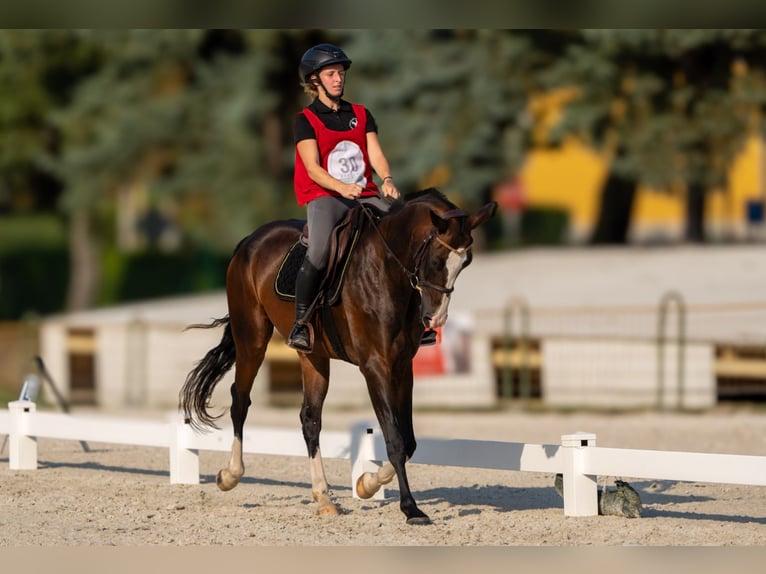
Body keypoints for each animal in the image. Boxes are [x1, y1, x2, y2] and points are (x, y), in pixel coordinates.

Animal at [180, 189, 498, 528]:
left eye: (465, 263)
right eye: (437, 260)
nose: (435, 319)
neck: (387, 270)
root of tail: (251, 239)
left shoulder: (401, 367)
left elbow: (408, 440)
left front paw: (367, 483)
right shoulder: (375, 367)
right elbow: (396, 441)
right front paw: (411, 509)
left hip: (313, 355)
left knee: (310, 418)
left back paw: (324, 498)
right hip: (251, 338)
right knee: (240, 400)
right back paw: (230, 475)